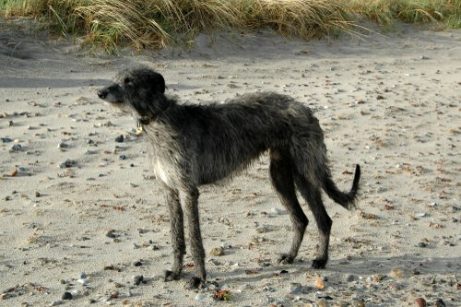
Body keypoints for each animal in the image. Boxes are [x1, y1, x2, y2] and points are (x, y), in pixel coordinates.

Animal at [99, 67, 362, 288]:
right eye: (116, 77)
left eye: (129, 80)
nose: (100, 92)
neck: (159, 120)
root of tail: (306, 109)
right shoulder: (170, 191)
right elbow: (176, 237)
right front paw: (176, 271)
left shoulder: (188, 190)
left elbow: (194, 238)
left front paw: (198, 277)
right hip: (280, 176)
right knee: (300, 219)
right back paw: (290, 255)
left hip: (305, 171)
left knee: (323, 219)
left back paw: (320, 259)